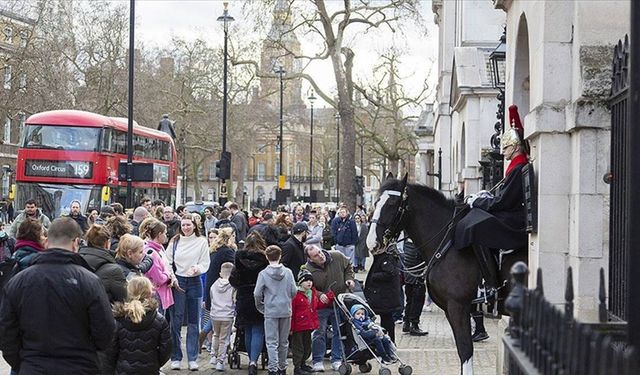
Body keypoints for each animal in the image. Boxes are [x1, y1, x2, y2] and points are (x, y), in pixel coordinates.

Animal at [368, 176, 528, 375]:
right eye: (376, 202)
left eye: (391, 203)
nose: (371, 243)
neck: (446, 244)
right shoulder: (450, 309)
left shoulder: (458, 306)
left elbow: (465, 350)